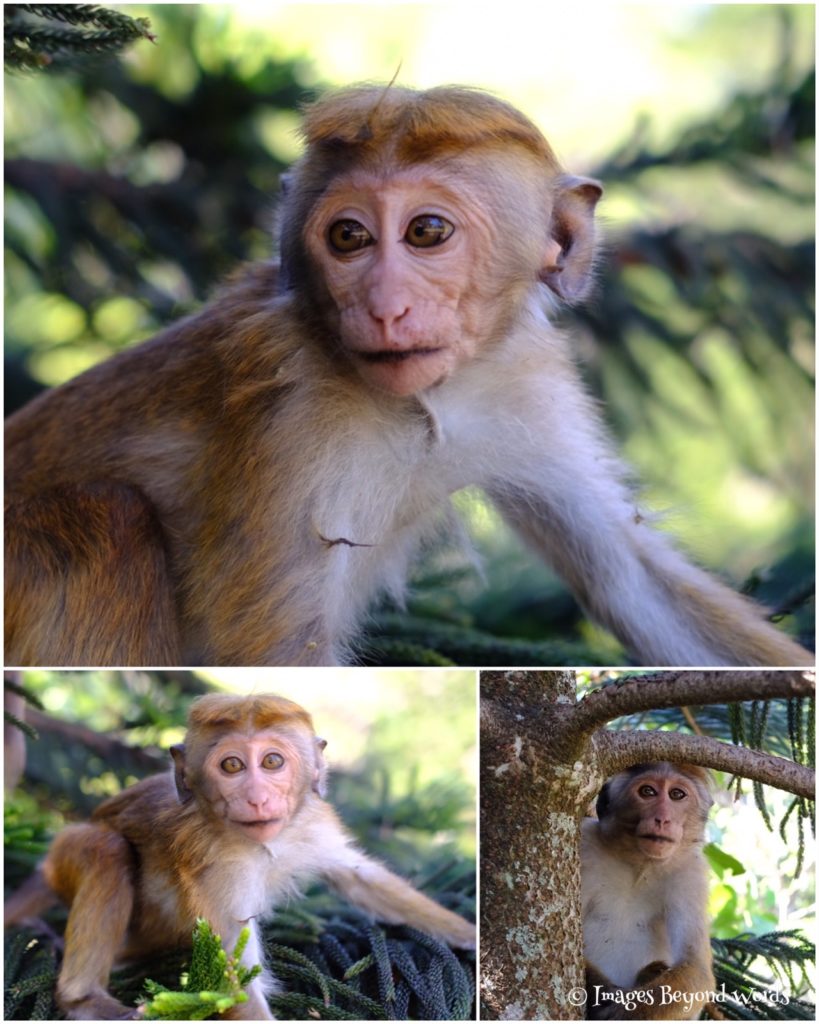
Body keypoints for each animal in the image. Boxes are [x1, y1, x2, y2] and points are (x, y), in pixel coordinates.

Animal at [3, 692, 476, 1020]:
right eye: (231, 766)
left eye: (272, 762)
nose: (256, 797)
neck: (264, 844)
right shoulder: (219, 868)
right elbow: (233, 975)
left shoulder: (311, 825)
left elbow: (360, 878)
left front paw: (469, 936)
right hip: (66, 857)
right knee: (106, 850)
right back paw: (83, 999)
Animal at [4, 84, 811, 668]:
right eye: (348, 237)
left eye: (426, 232)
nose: (385, 306)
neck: (423, 402)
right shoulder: (287, 421)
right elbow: (271, 650)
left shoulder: (522, 384)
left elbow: (627, 577)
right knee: (105, 520)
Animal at [581, 763, 716, 1021]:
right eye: (648, 792)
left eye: (677, 795)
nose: (662, 819)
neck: (640, 865)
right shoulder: (585, 844)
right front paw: (602, 993)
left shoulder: (690, 875)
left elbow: (695, 967)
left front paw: (623, 1013)